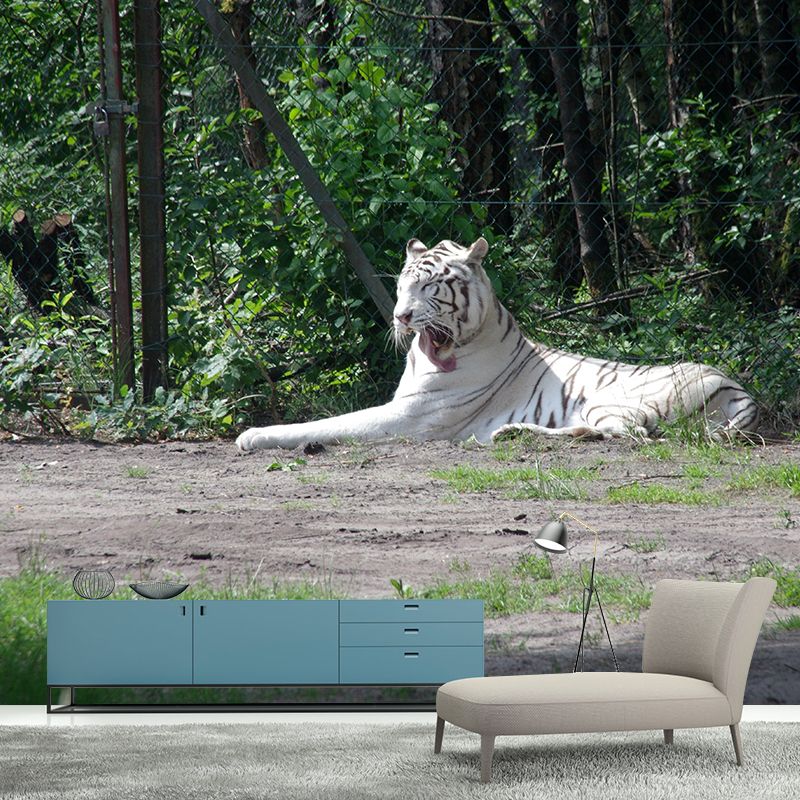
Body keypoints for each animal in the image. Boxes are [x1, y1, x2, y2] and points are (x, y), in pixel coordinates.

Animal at [235, 237, 758, 451]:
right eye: (403, 286)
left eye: (430, 288)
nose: (401, 316)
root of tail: (740, 391)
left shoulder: (410, 416)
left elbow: (328, 424)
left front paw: (253, 435)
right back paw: (510, 433)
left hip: (610, 402)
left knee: (625, 435)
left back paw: (511, 433)